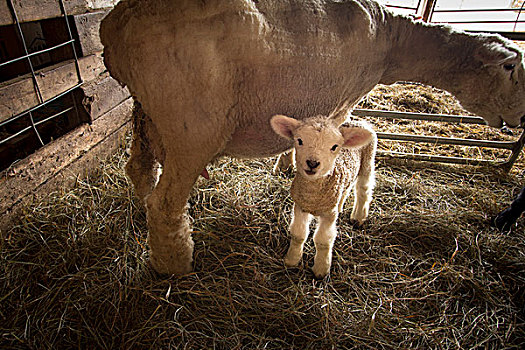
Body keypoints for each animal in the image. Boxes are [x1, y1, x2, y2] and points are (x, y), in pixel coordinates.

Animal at [270, 115, 376, 278]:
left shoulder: (328, 214)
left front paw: (321, 269)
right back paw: (341, 206)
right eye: (299, 140)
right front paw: (292, 259)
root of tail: (357, 121)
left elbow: (323, 241)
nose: (312, 163)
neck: (314, 196)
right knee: (347, 188)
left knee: (363, 190)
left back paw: (359, 217)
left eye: (334, 146)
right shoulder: (300, 206)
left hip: (368, 161)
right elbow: (299, 234)